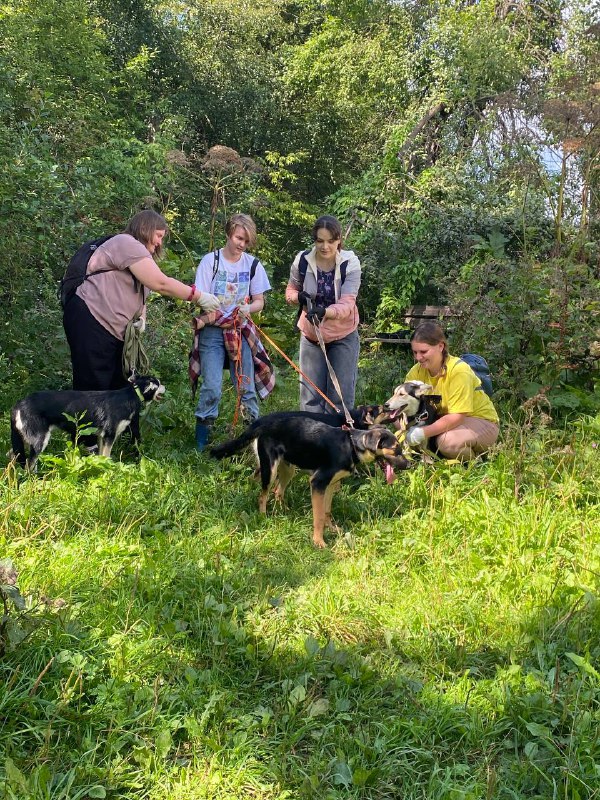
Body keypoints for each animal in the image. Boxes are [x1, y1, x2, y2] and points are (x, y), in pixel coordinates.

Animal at [9, 374, 164, 468]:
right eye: (159, 383)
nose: (165, 386)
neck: (131, 395)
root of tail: (19, 404)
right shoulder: (109, 436)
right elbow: (106, 456)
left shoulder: (102, 437)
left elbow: (101, 456)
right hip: (39, 440)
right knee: (29, 463)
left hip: (24, 439)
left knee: (14, 456)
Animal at [210, 412, 408, 552]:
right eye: (395, 449)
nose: (409, 464)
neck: (352, 444)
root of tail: (262, 423)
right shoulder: (317, 483)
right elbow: (318, 516)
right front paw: (318, 541)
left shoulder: (330, 485)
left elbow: (327, 511)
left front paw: (332, 529)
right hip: (270, 469)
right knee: (263, 494)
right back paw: (263, 516)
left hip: (288, 469)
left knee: (277, 491)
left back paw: (283, 510)